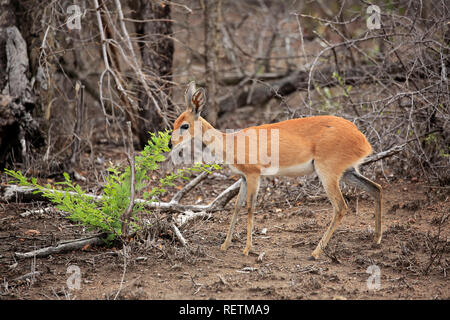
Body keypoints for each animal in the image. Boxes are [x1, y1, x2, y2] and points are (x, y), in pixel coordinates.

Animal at [171, 81, 382, 258]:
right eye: (175, 122)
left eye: (185, 125)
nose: (170, 143)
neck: (231, 142)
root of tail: (362, 138)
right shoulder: (243, 178)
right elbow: (237, 206)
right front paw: (225, 245)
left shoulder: (254, 175)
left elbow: (250, 206)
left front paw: (247, 249)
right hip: (347, 172)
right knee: (376, 188)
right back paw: (376, 239)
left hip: (328, 174)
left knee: (340, 207)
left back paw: (315, 253)